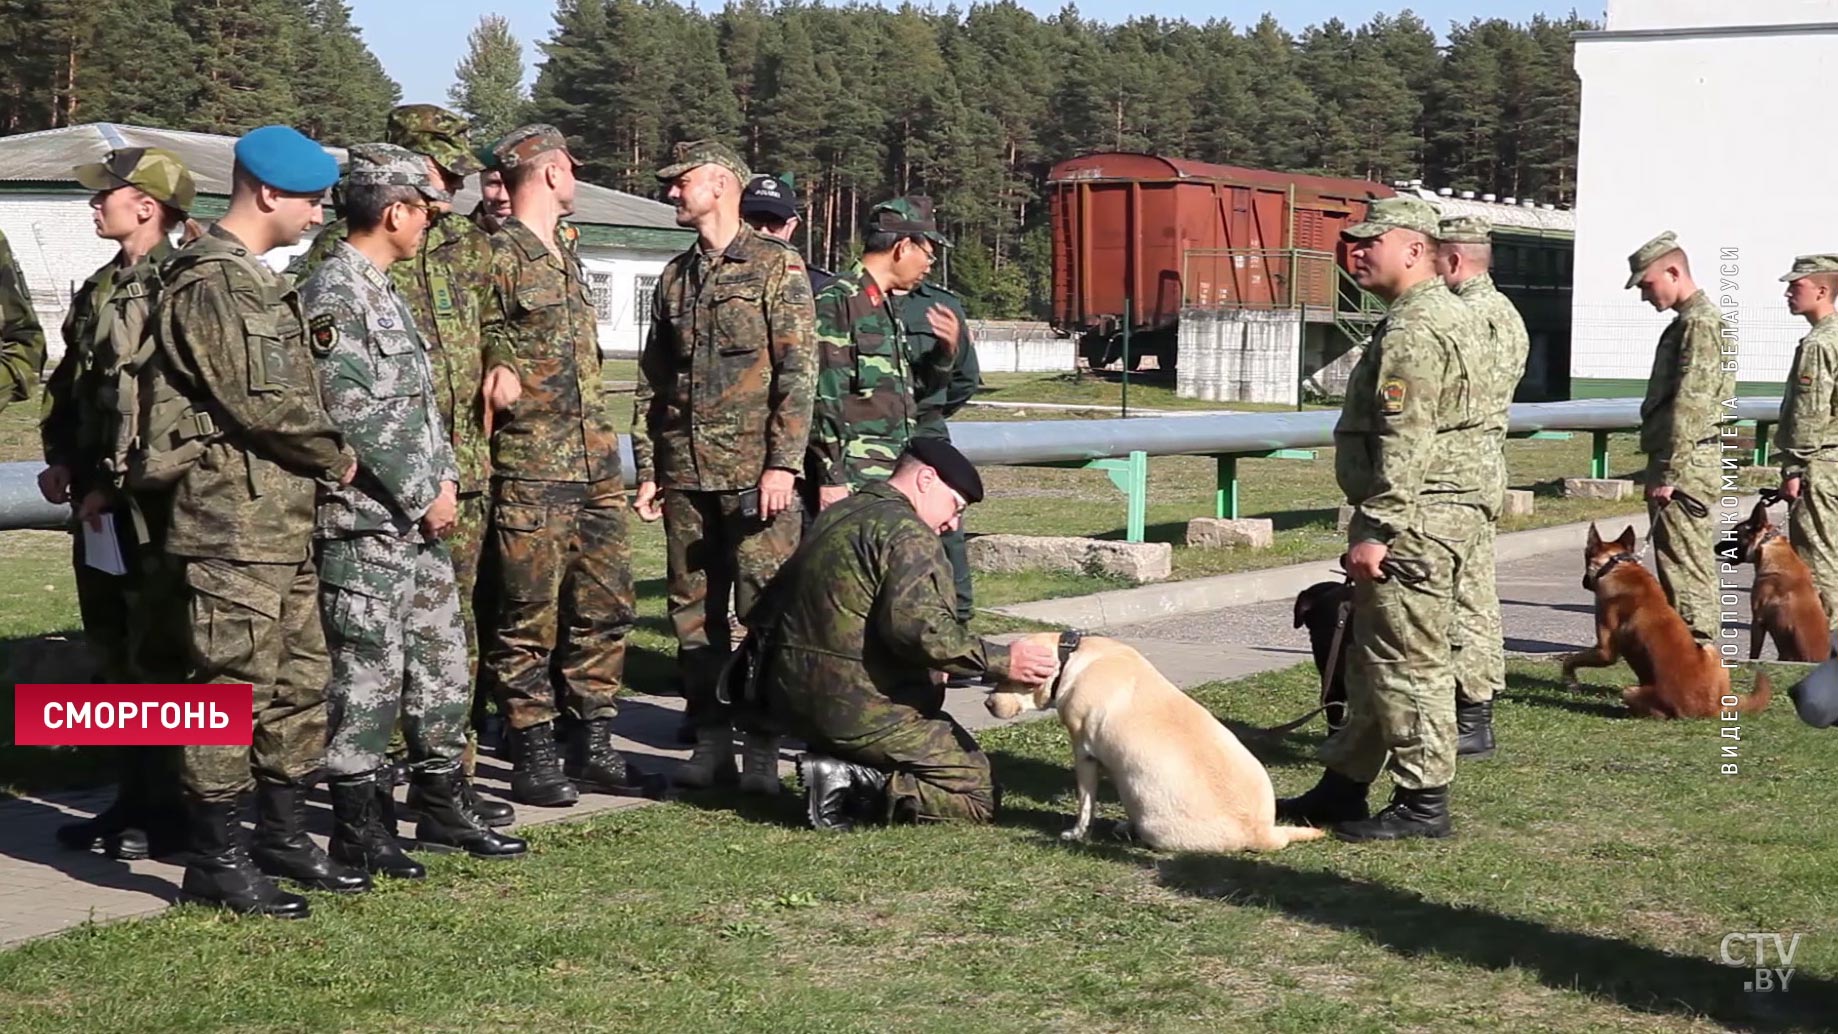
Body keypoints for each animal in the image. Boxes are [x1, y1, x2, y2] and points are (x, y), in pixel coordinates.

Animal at [992, 635, 1323, 852]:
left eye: (1008, 678)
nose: (987, 702)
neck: (1070, 656)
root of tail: (1262, 833)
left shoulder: (1084, 753)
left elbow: (1086, 804)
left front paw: (1076, 833)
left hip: (1153, 822)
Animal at [1565, 525, 1764, 719]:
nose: (1584, 582)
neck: (1617, 565)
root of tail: (1710, 710)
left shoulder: (1605, 650)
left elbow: (1570, 659)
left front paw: (1570, 679)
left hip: (1630, 691)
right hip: (1711, 651)